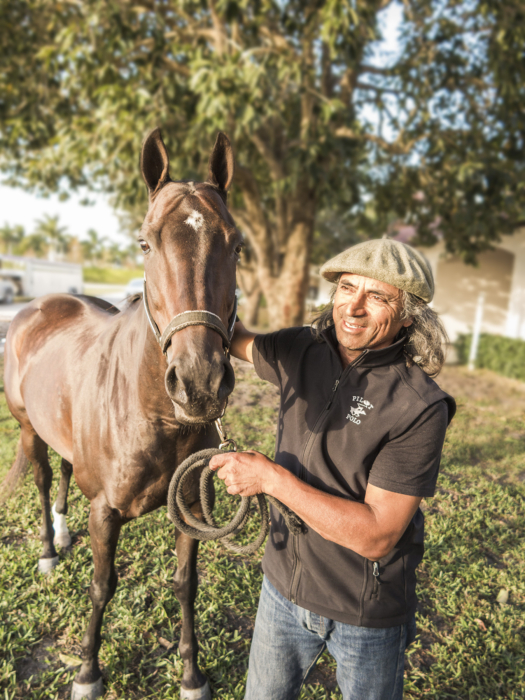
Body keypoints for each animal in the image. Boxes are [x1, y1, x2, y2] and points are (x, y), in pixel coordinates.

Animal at [3, 130, 241, 700]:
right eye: (145, 243)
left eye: (237, 244)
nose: (199, 383)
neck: (154, 416)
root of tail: (38, 305)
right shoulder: (105, 513)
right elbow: (101, 586)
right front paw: (88, 672)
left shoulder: (190, 508)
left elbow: (186, 584)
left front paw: (192, 675)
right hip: (28, 428)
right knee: (42, 479)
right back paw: (49, 549)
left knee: (66, 471)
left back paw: (61, 530)